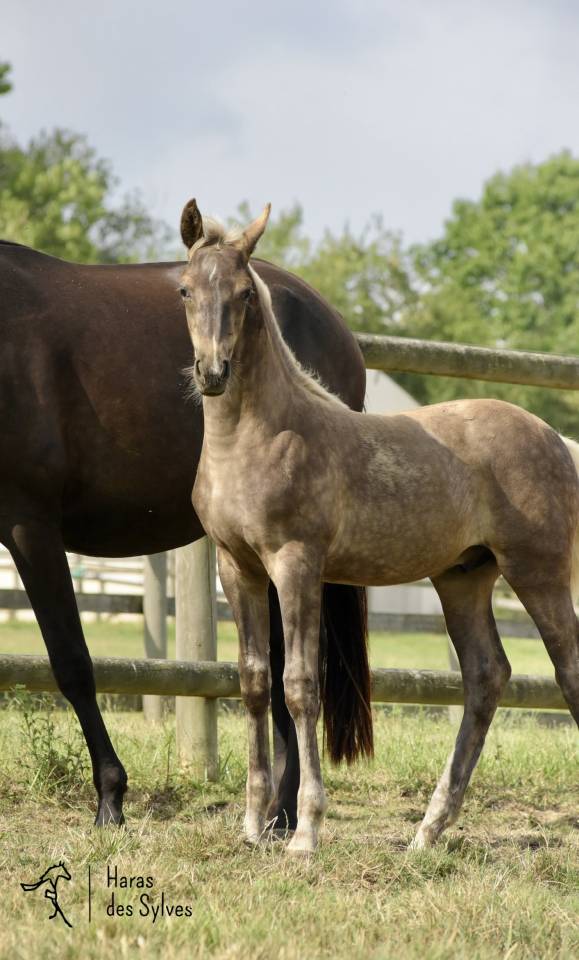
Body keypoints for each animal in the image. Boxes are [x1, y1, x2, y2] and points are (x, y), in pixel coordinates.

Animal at [0, 234, 371, 828]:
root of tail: (333, 322)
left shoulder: (29, 526)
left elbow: (72, 663)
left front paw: (111, 799)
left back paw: (280, 813)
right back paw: (279, 809)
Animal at [178, 199, 579, 854]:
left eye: (245, 295)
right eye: (185, 289)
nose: (213, 372)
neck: (258, 438)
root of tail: (555, 438)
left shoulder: (297, 564)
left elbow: (300, 685)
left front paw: (305, 833)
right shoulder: (237, 566)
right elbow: (255, 682)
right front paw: (252, 827)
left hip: (537, 571)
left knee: (566, 673)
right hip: (463, 579)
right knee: (487, 676)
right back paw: (428, 830)